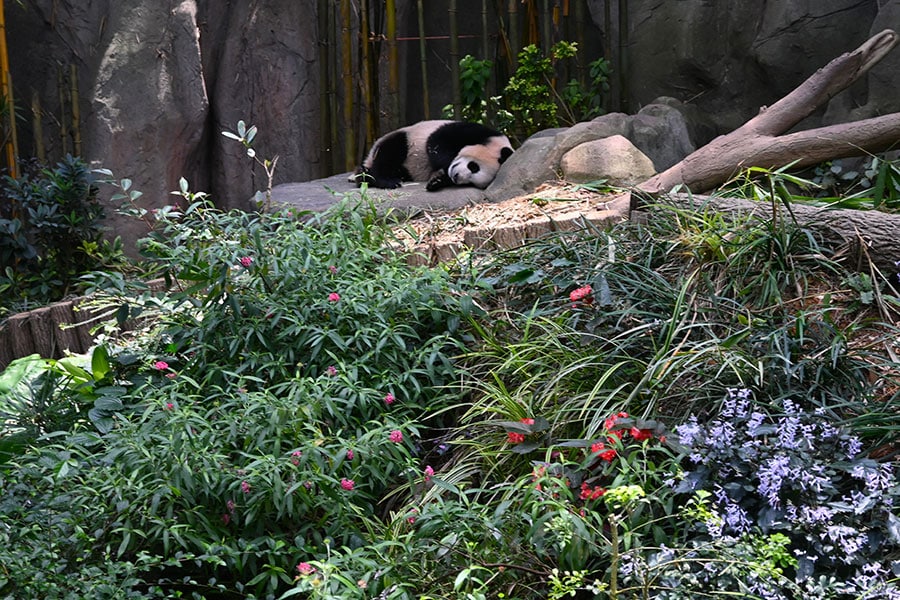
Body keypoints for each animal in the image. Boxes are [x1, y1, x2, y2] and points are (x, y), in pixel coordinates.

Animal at [350, 122, 510, 195]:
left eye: (471, 181)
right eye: (474, 166)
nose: (456, 176)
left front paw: (438, 180)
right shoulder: (471, 131)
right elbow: (437, 142)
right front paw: (443, 169)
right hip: (405, 138)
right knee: (391, 152)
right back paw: (383, 179)